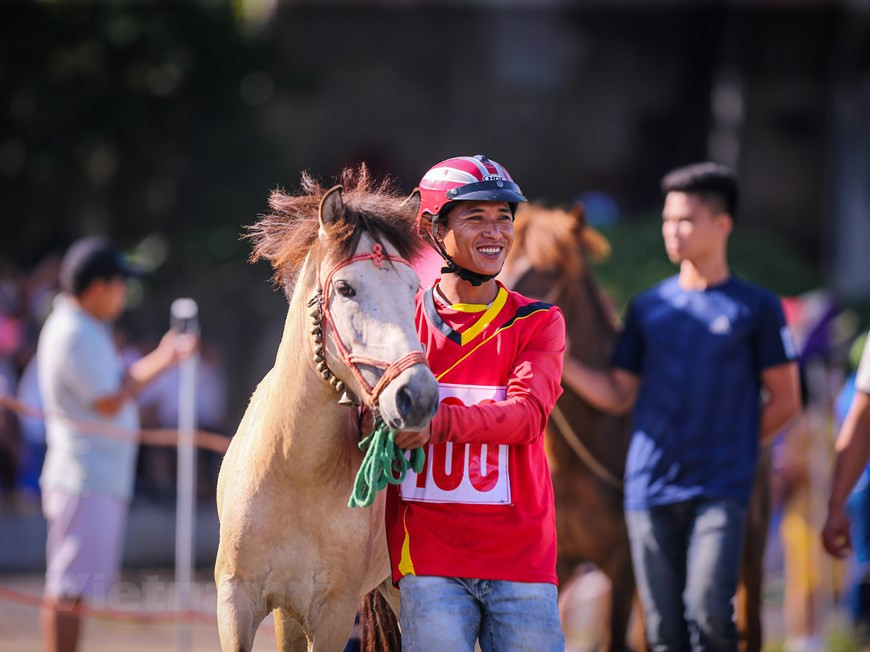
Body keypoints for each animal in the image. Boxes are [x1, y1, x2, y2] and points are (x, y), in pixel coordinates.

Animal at [214, 168, 439, 652]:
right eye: (345, 287)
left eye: (413, 290)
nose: (419, 397)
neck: (292, 466)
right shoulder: (239, 600)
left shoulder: (333, 612)